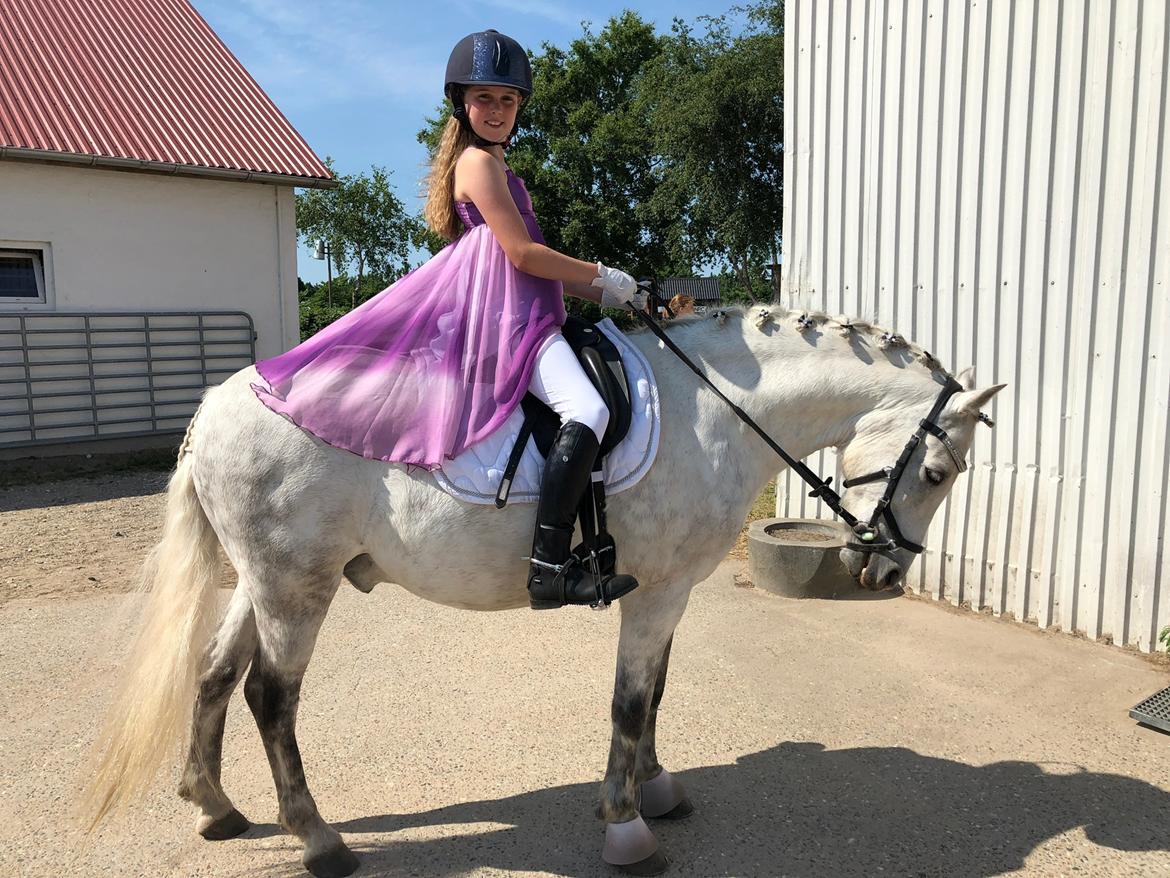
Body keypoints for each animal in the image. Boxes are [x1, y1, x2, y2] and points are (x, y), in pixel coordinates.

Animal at [80, 304, 1004, 877]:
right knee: (271, 698)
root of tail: (217, 403)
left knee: (213, 674)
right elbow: (630, 702)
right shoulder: (658, 592)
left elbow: (656, 695)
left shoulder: (667, 591)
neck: (716, 410)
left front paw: (657, 789)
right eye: (937, 471)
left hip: (261, 581)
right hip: (295, 588)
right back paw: (319, 841)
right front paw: (626, 827)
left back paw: (213, 806)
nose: (887, 570)